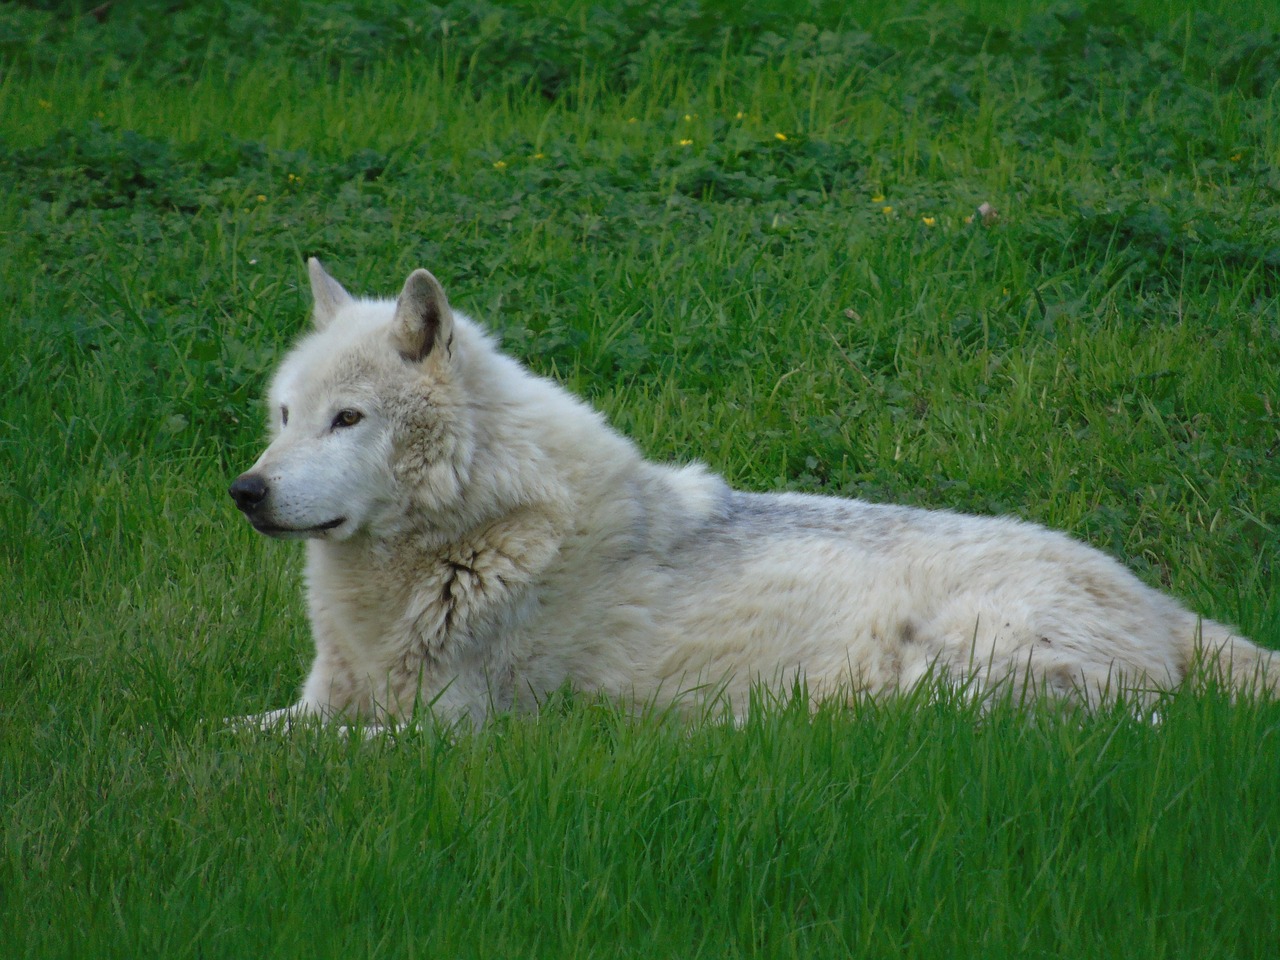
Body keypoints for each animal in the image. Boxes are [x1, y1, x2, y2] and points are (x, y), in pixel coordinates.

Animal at [227, 259, 1269, 727]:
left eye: (348, 420)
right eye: (283, 414)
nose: (245, 490)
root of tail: (1158, 602)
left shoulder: (448, 733)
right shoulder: (323, 702)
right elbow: (229, 734)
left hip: (956, 674)